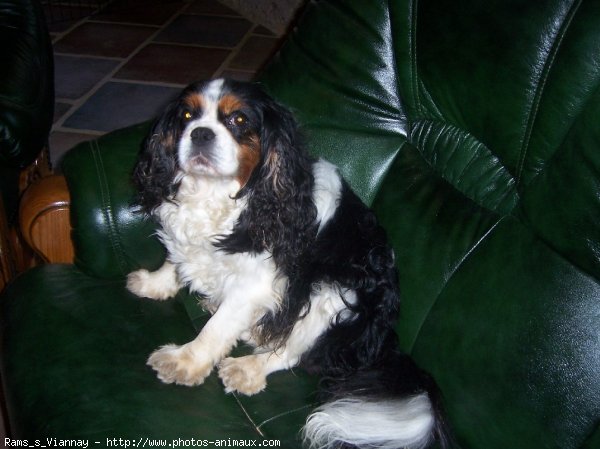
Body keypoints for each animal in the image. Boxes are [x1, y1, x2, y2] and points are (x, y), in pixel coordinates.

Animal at [126, 79, 448, 446]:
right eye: (187, 116)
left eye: (238, 120)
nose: (201, 133)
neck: (219, 193)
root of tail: (384, 346)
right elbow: (175, 259)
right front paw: (155, 283)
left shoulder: (256, 284)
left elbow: (215, 331)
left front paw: (185, 361)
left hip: (334, 293)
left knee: (292, 352)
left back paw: (248, 367)